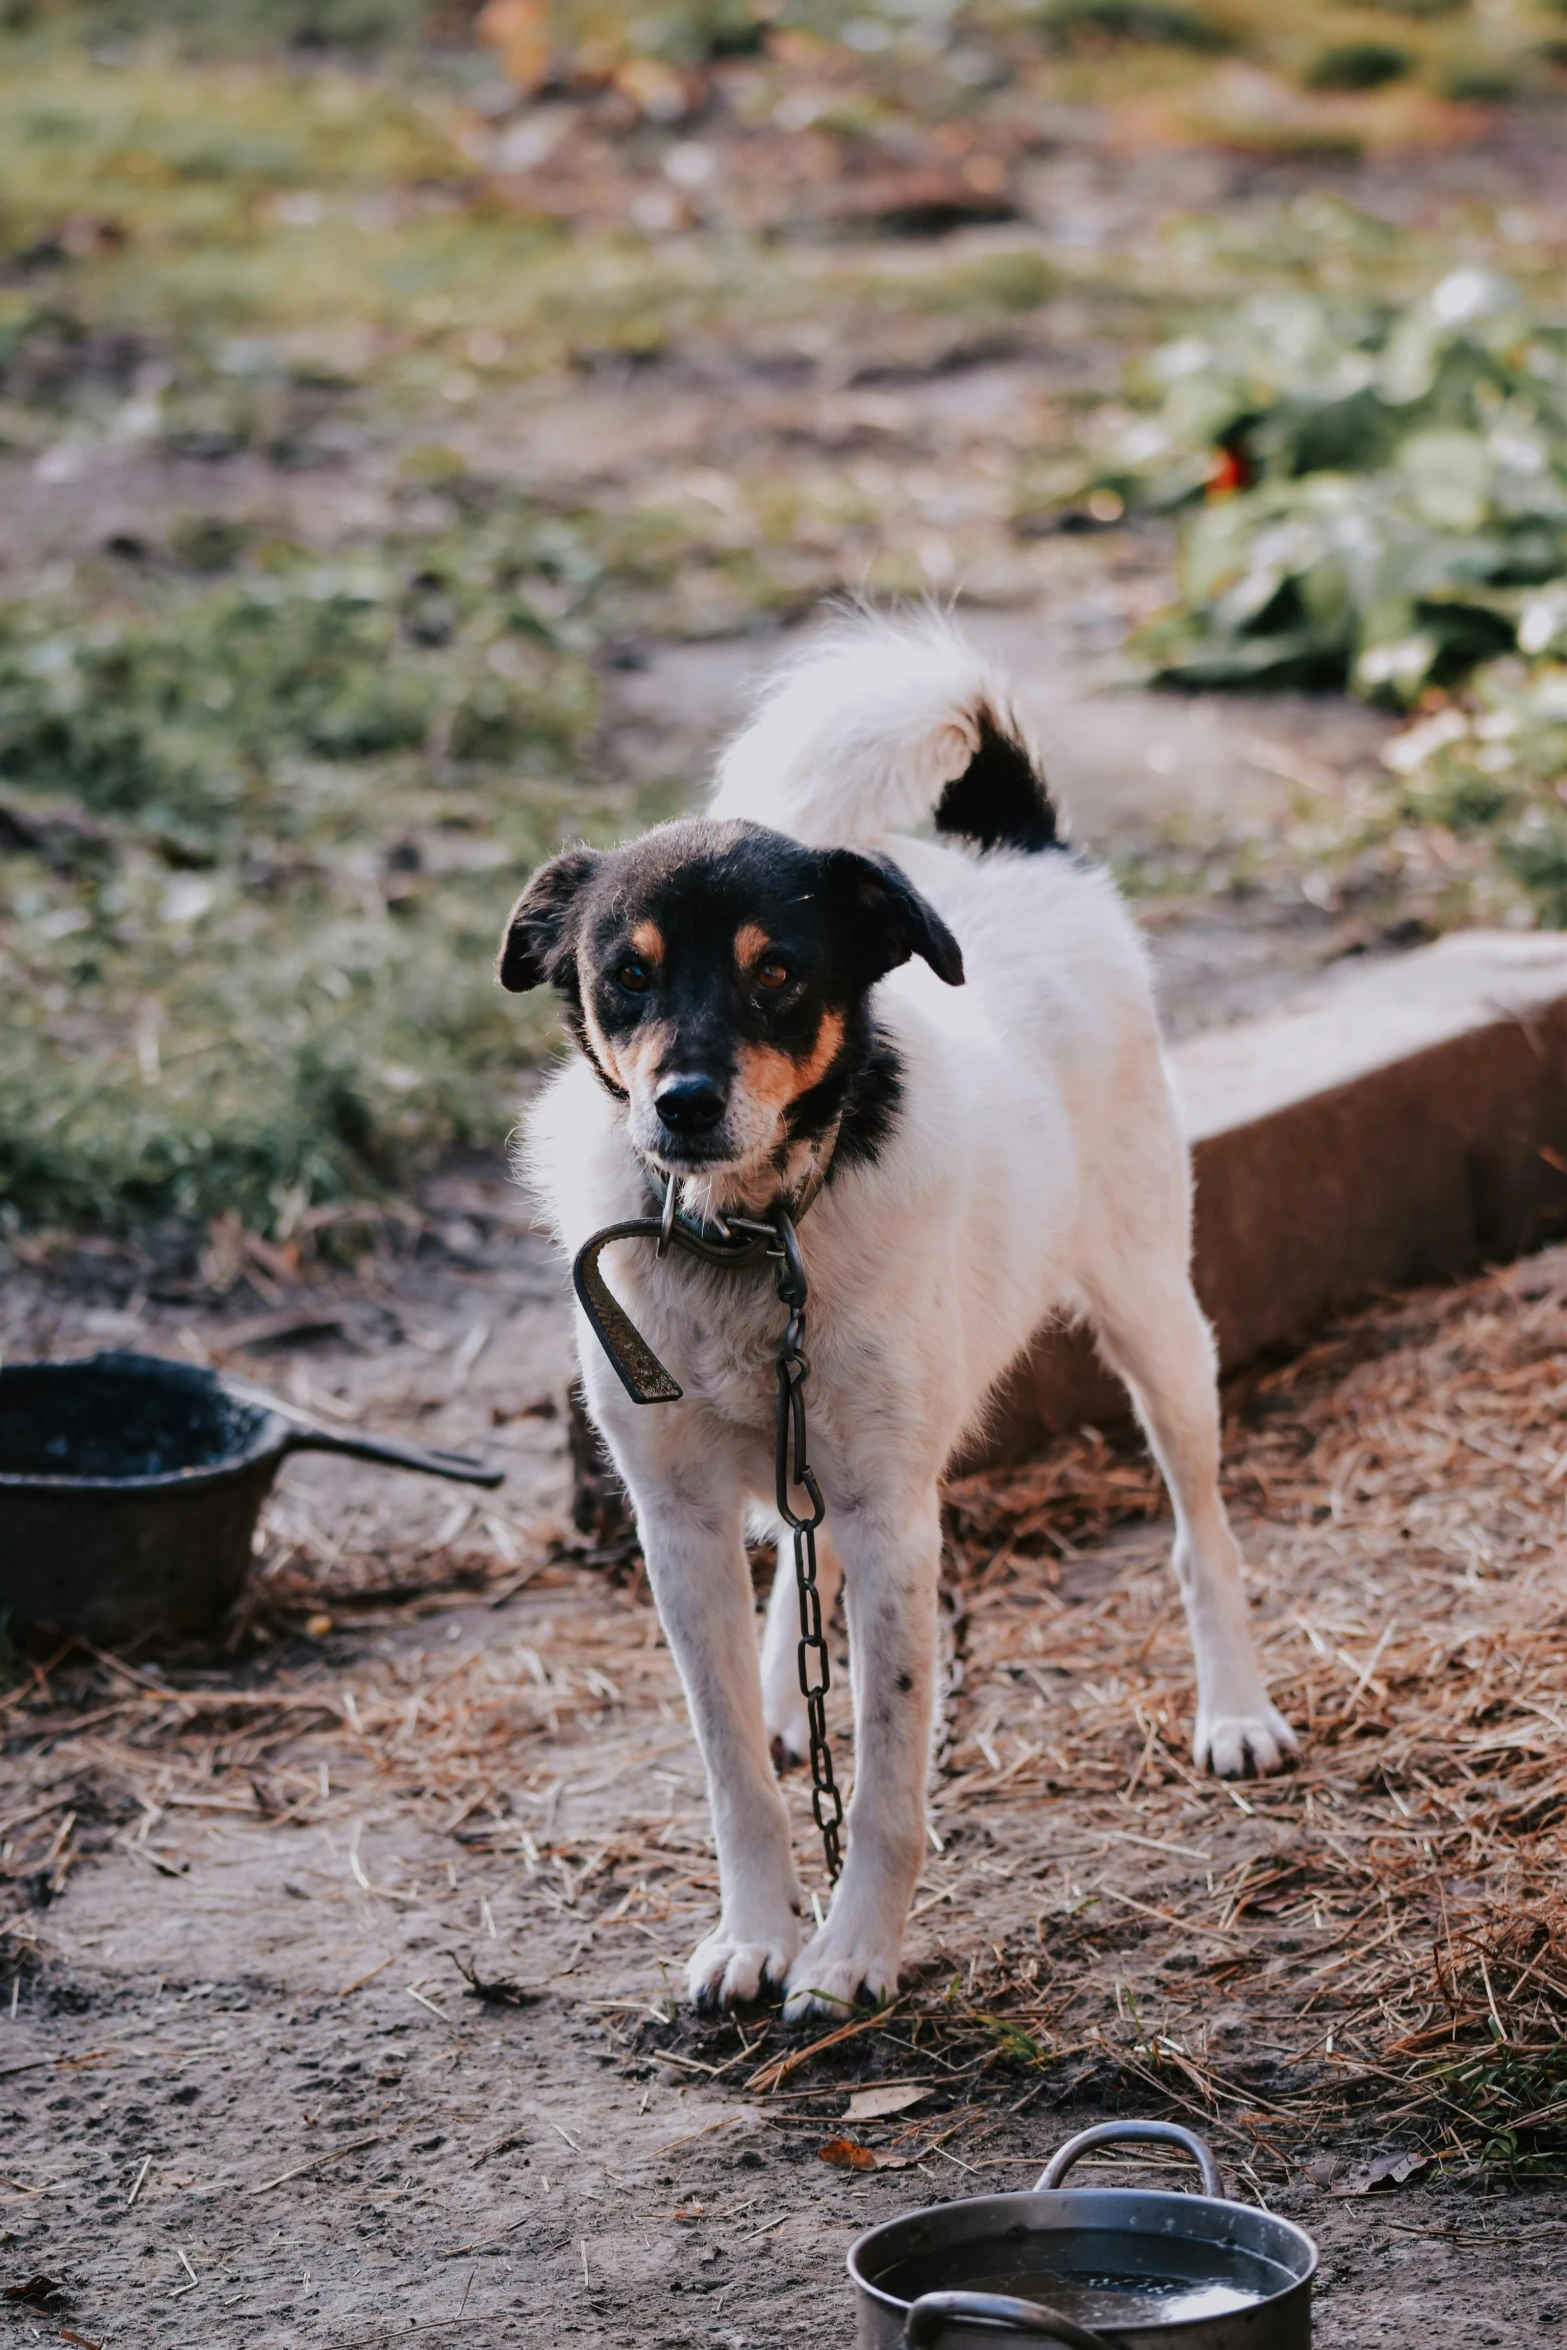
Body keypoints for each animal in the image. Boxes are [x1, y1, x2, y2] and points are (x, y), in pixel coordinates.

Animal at [505, 620, 1296, 2020]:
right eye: (624, 976)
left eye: (777, 976)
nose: (682, 1104)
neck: (751, 1236)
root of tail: (1021, 848)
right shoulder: (678, 1518)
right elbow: (733, 1773)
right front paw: (755, 1930)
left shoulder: (892, 1517)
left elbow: (882, 1774)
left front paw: (852, 1953)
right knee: (791, 1561)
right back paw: (784, 1695)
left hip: (1157, 1320)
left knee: (1200, 1529)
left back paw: (1234, 1709)